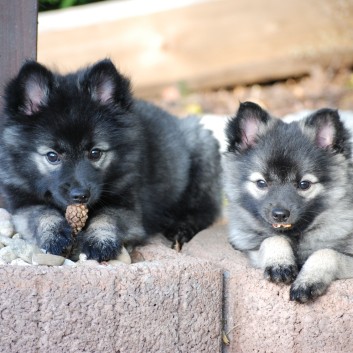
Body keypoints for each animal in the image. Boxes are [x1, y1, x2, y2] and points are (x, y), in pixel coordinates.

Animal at [0, 59, 220, 260]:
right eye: (52, 156)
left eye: (95, 153)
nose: (80, 196)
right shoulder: (22, 204)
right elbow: (41, 214)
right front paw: (54, 236)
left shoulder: (128, 207)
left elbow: (107, 216)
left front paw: (100, 241)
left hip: (201, 147)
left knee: (204, 211)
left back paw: (180, 228)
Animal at [224, 100, 352, 302]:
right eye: (261, 183)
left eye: (304, 184)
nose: (279, 215)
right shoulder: (251, 248)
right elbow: (272, 239)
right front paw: (280, 264)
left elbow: (327, 252)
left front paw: (308, 281)